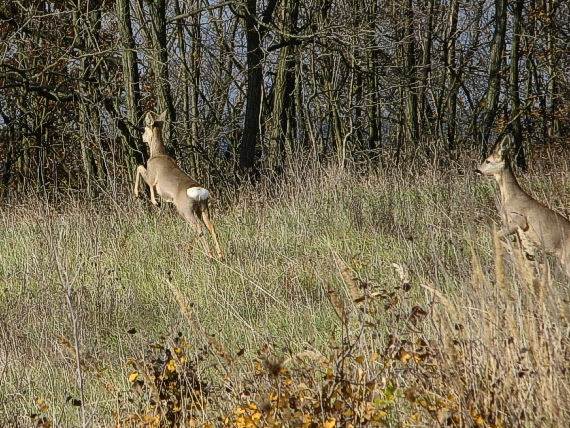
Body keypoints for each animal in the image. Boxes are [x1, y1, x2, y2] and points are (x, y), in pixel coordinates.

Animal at [134, 110, 222, 258]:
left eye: (145, 129)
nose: (142, 137)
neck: (157, 154)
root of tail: (198, 192)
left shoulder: (152, 175)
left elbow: (140, 167)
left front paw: (149, 199)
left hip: (185, 209)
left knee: (198, 228)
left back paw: (208, 254)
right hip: (203, 208)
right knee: (211, 226)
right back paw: (220, 255)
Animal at [474, 135, 568, 280]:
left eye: (488, 161)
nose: (477, 170)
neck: (509, 198)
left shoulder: (519, 221)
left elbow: (495, 235)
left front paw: (525, 257)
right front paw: (528, 258)